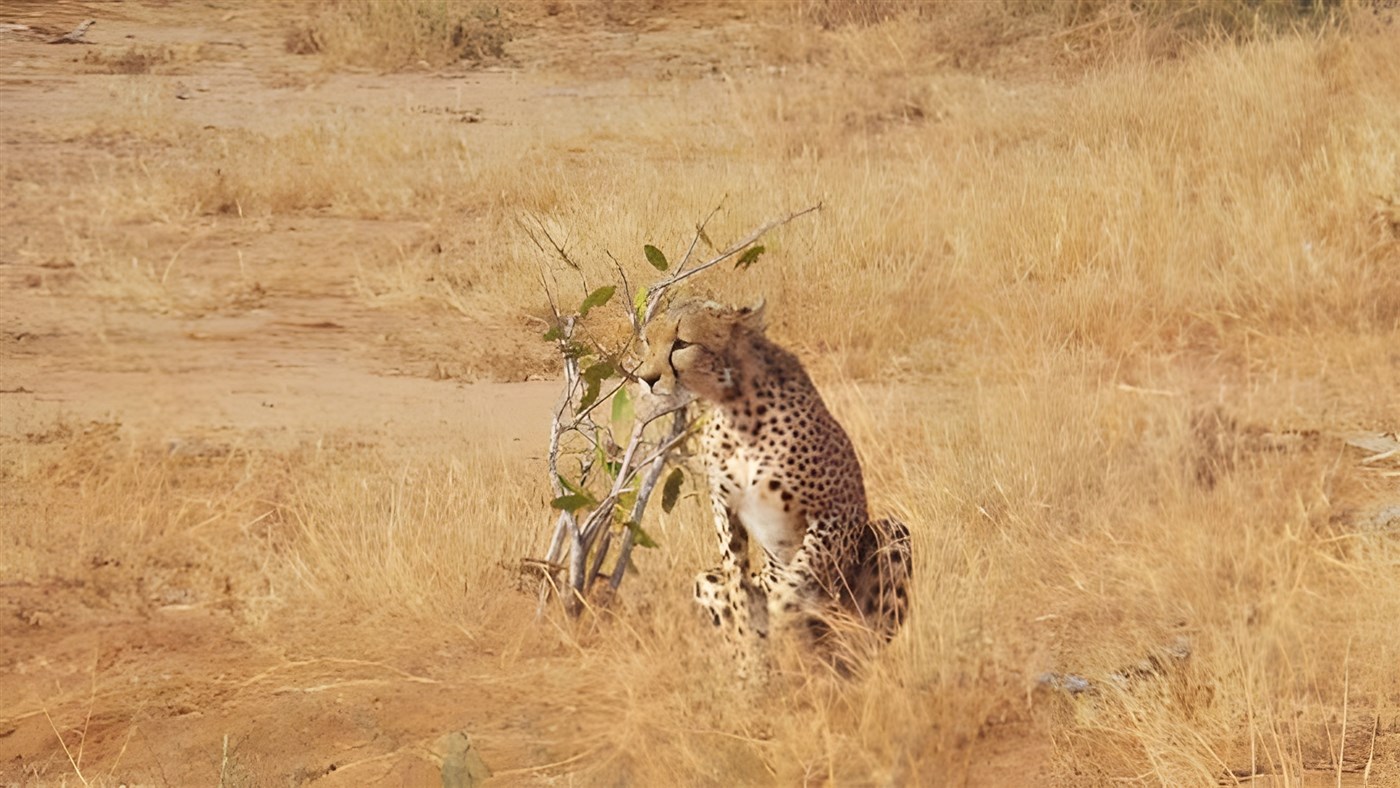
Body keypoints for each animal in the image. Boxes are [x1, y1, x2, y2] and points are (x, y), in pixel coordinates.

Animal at [637, 298, 912, 678]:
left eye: (681, 343)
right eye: (647, 341)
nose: (646, 378)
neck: (734, 406)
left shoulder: (836, 513)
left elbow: (798, 579)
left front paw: (782, 627)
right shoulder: (726, 513)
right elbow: (740, 596)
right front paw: (754, 670)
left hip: (892, 534)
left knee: (857, 646)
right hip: (706, 577)